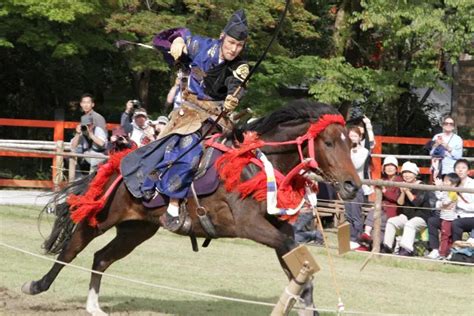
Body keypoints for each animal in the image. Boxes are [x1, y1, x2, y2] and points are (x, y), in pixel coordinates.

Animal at [22, 99, 360, 316]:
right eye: (329, 143)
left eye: (352, 143)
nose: (352, 185)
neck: (255, 165)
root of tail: (116, 163)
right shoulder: (249, 226)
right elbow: (293, 254)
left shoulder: (279, 227)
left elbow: (296, 262)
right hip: (102, 217)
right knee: (72, 249)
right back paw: (36, 285)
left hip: (136, 230)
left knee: (101, 257)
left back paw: (93, 306)